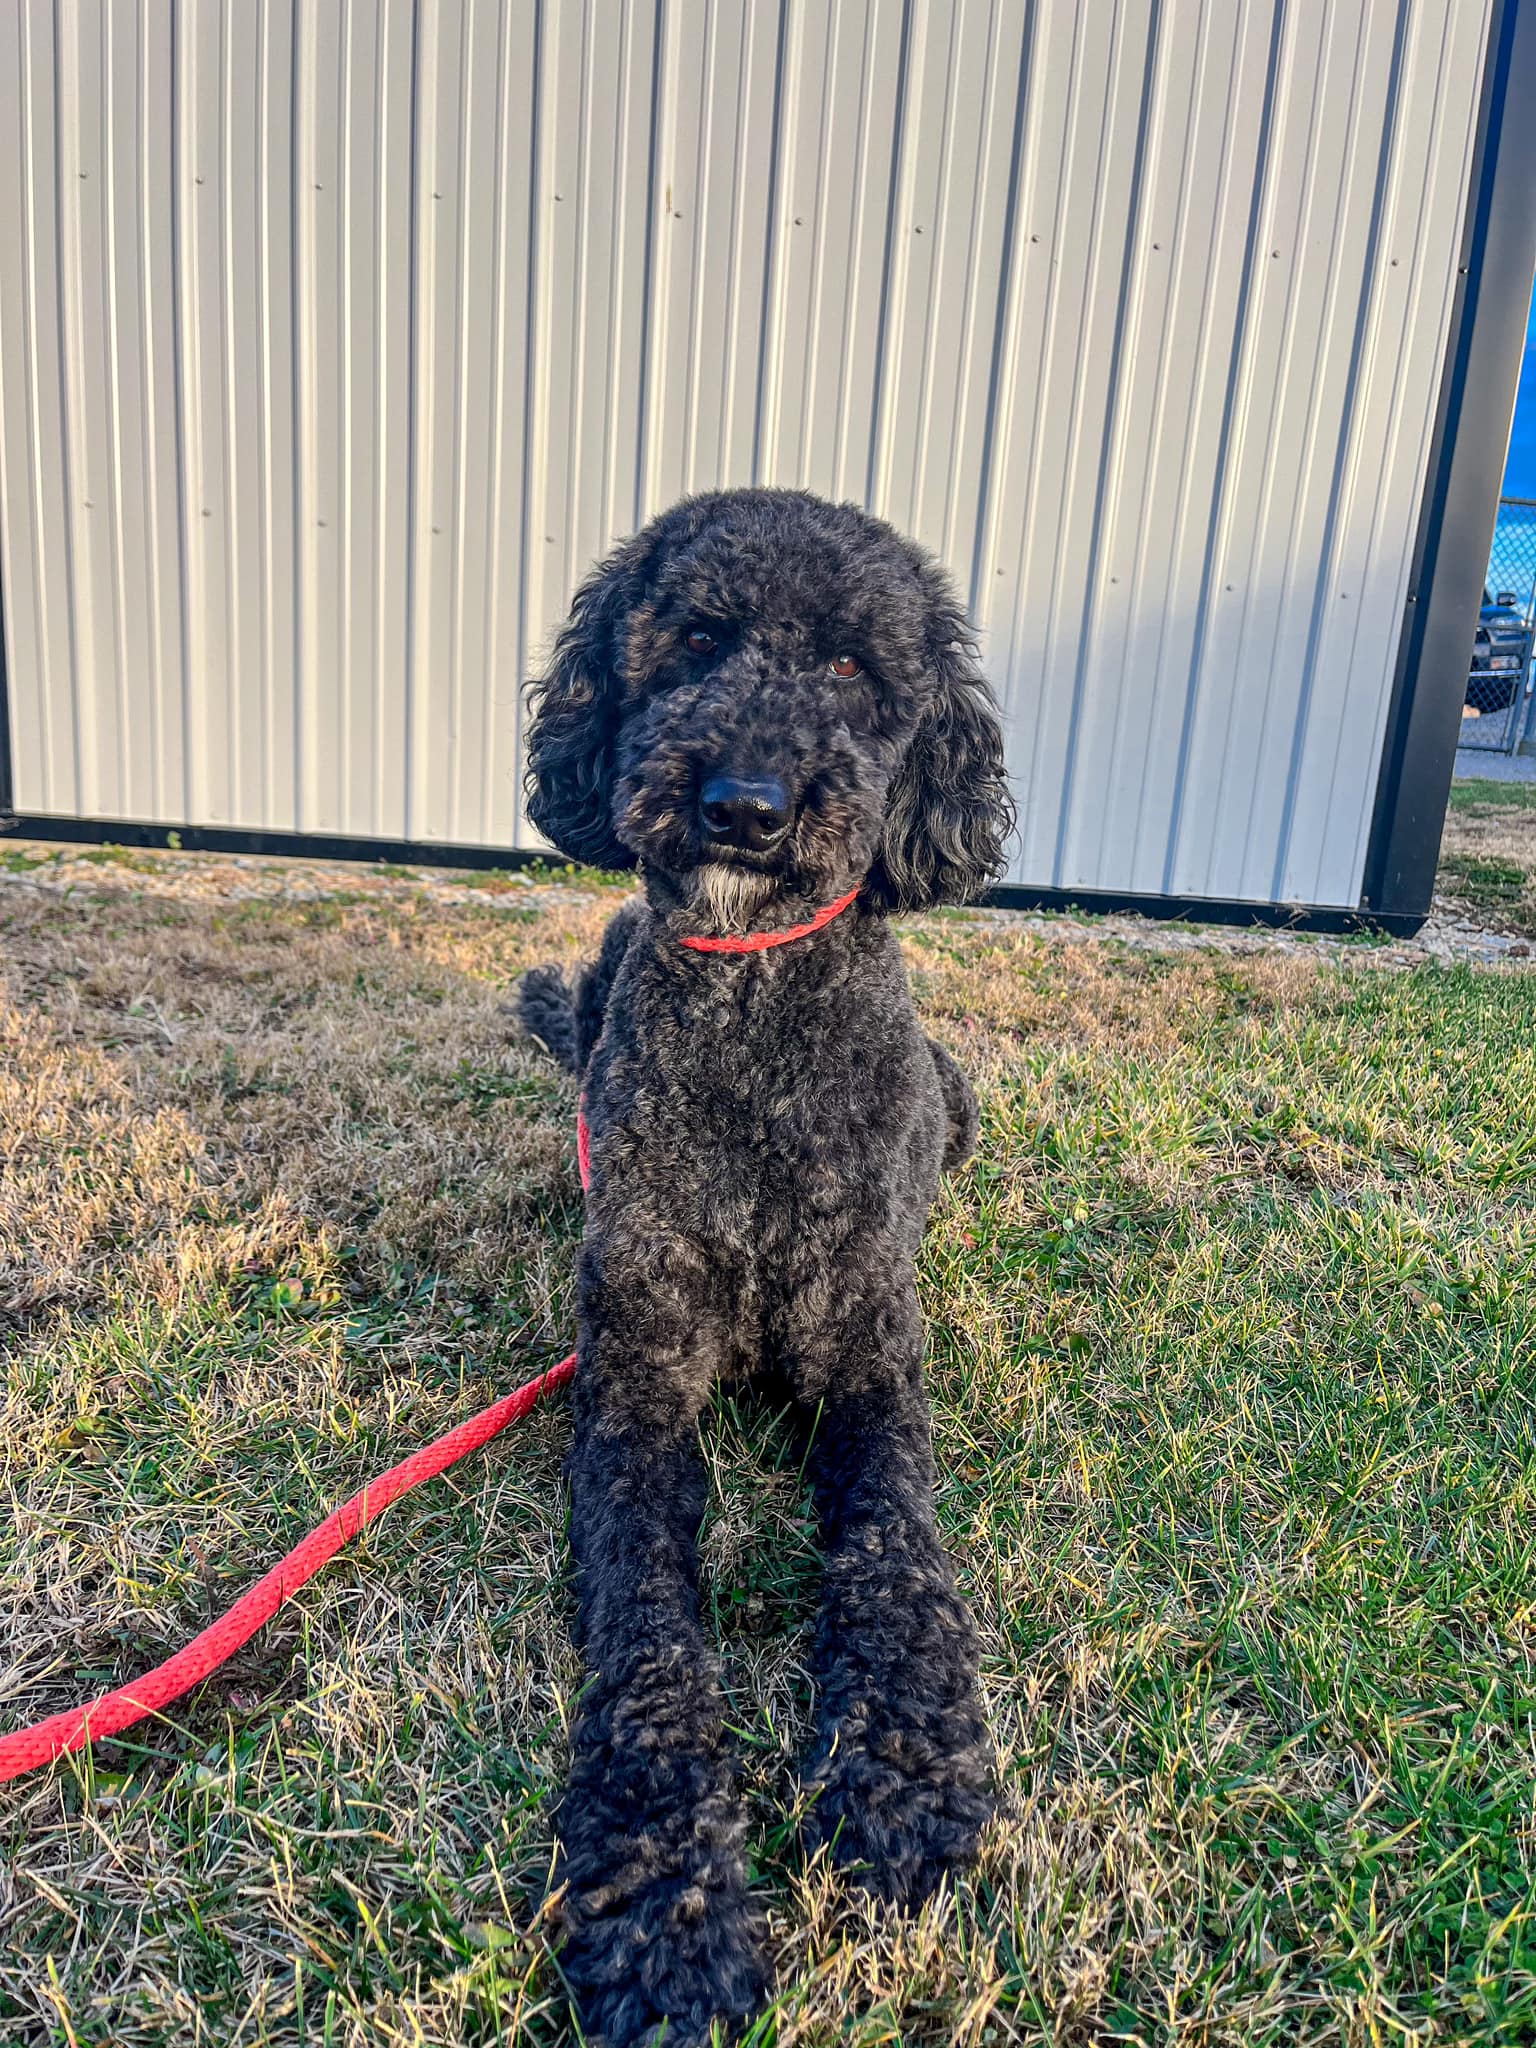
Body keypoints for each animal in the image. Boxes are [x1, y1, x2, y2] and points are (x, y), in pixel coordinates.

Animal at [518, 487, 1015, 2039]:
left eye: (855, 666)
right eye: (693, 641)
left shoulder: (868, 1367)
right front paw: (665, 1907)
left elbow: (896, 1557)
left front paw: (905, 1780)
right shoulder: (632, 1391)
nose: (745, 802)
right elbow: (650, 1633)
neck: (753, 1005)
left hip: (955, 1095)